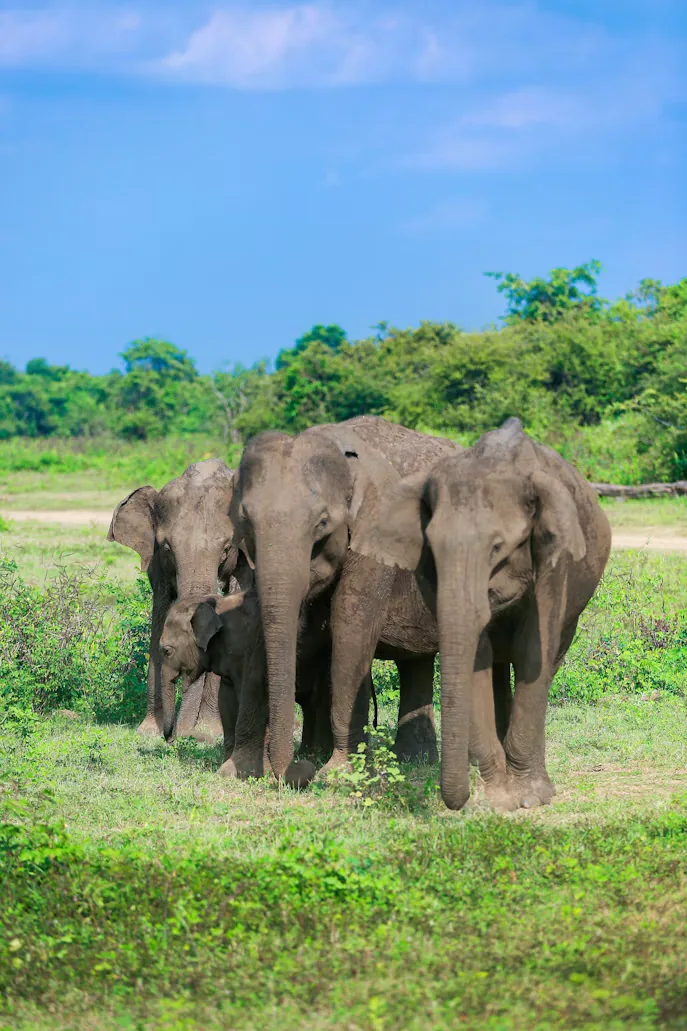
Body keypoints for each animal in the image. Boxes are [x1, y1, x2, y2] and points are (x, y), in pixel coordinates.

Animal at [108, 459, 242, 741]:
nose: (174, 736)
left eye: (226, 548)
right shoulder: (157, 566)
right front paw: (148, 731)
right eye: (168, 547)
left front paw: (207, 734)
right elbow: (159, 619)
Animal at [230, 416, 459, 786]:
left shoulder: (376, 534)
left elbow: (351, 627)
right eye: (246, 520)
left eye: (322, 523)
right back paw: (414, 760)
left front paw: (337, 775)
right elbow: (260, 629)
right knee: (416, 661)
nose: (297, 771)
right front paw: (239, 771)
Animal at [353, 417, 612, 811]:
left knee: (546, 658)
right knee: (498, 667)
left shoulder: (556, 560)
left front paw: (531, 798)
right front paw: (495, 800)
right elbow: (479, 655)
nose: (458, 800)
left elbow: (533, 651)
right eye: (432, 548)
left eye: (497, 547)